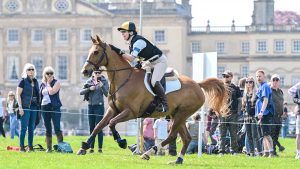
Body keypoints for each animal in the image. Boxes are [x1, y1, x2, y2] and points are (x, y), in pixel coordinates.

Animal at [77, 35, 227, 164]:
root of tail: (197, 84)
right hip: (177, 115)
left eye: (96, 52)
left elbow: (112, 123)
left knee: (172, 136)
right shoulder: (113, 109)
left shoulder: (131, 112)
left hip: (181, 114)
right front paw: (83, 147)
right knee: (186, 138)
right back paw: (177, 160)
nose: (84, 71)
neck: (123, 79)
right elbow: (98, 126)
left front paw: (121, 142)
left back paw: (148, 153)